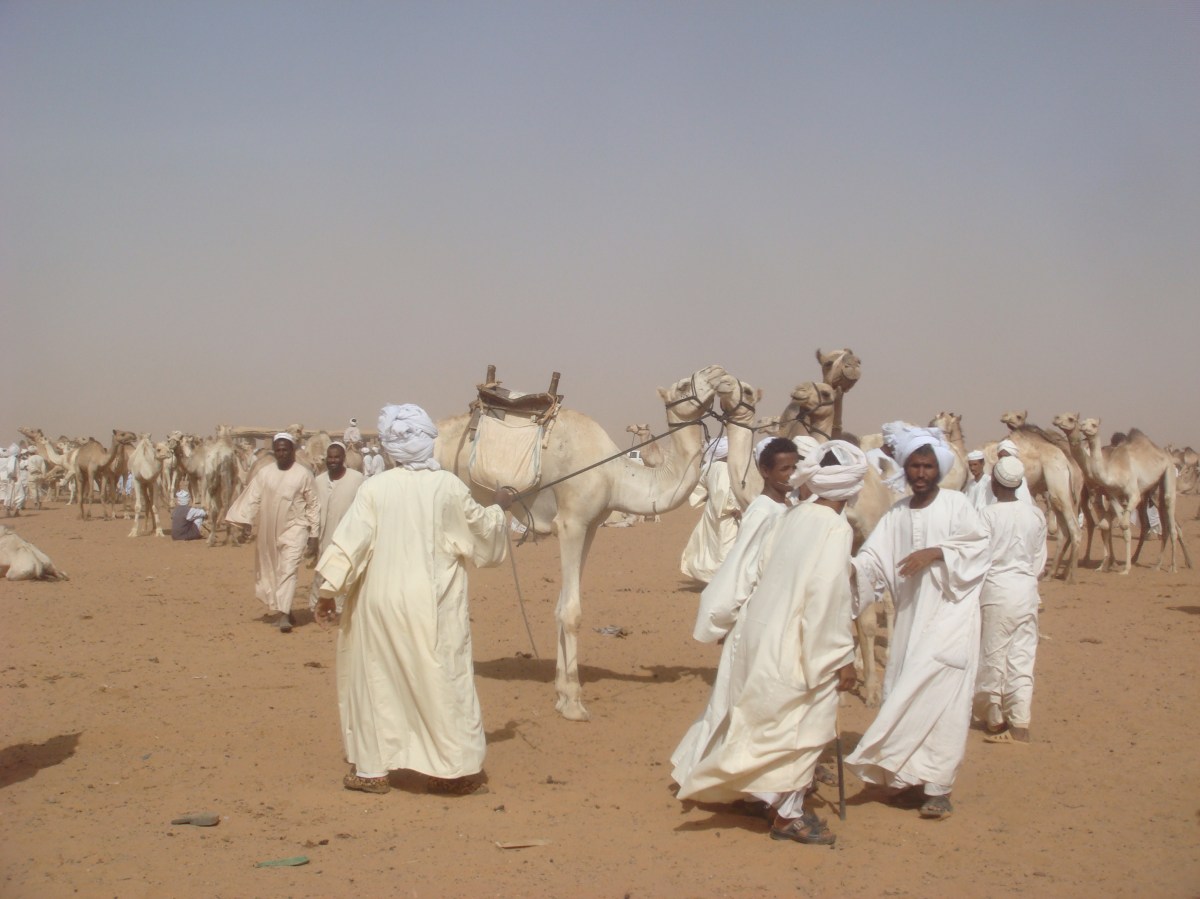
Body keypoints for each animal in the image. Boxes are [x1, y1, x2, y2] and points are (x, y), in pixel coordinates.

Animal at [435, 365, 728, 721]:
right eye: (685, 384)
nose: (717, 371)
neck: (615, 474)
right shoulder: (571, 522)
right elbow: (572, 612)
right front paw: (574, 702)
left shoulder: (590, 526)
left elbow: (562, 606)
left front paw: (561, 694)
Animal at [1055, 414, 1191, 574]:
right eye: (1082, 422)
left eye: (1093, 425)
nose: (1083, 427)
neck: (1111, 471)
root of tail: (1166, 454)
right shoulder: (1112, 496)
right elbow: (1107, 525)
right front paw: (1105, 565)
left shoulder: (1132, 494)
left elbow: (1123, 525)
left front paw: (1123, 568)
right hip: (1154, 490)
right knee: (1162, 524)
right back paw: (1157, 565)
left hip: (1168, 472)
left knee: (1170, 515)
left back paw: (1173, 567)